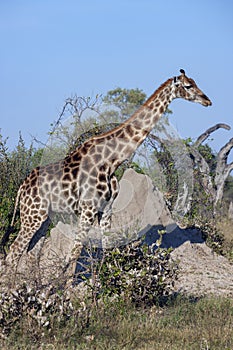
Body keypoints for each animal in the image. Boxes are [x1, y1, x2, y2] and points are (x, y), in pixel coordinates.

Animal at [2, 69, 212, 274]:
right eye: (188, 86)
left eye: (195, 82)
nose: (208, 101)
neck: (111, 162)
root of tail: (22, 187)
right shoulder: (88, 209)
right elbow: (75, 252)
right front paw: (62, 284)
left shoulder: (106, 209)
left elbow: (104, 248)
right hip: (32, 215)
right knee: (13, 252)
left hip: (45, 217)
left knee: (30, 254)